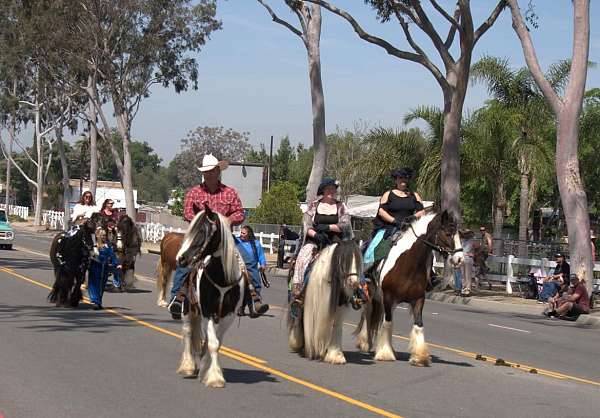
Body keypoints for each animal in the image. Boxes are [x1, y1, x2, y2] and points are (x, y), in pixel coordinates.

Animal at [173, 204, 241, 386]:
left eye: (202, 232)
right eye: (191, 230)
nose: (180, 258)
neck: (222, 278)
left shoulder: (228, 316)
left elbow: (217, 343)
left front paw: (208, 371)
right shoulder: (208, 312)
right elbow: (211, 343)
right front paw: (215, 377)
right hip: (188, 309)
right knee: (188, 332)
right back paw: (188, 366)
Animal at [356, 212, 464, 366]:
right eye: (448, 233)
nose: (459, 259)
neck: (408, 263)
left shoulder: (418, 299)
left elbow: (418, 325)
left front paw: (420, 357)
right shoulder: (388, 297)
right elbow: (387, 322)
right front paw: (385, 354)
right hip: (370, 294)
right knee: (367, 314)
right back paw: (364, 343)